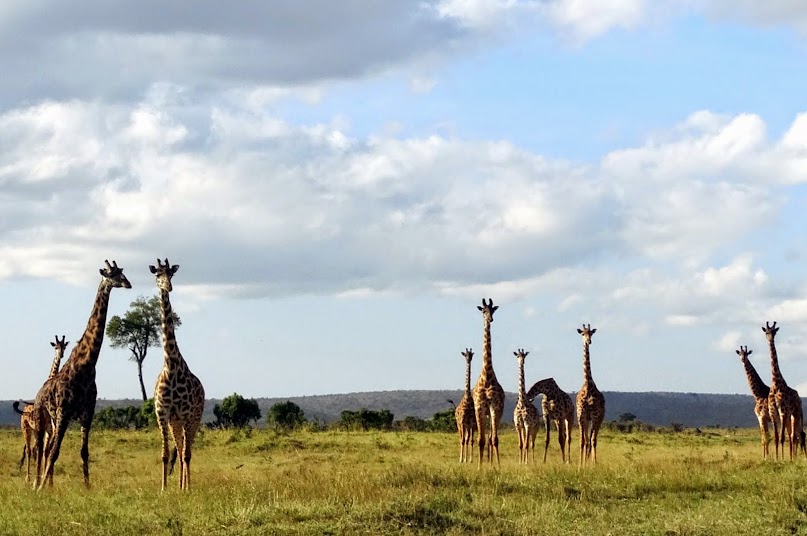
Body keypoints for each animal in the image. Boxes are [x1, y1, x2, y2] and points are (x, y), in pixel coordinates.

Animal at [13, 336, 68, 482]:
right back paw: (28, 478)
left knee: (35, 450)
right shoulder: (46, 429)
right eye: (55, 347)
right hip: (26, 428)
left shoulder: (50, 430)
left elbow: (46, 452)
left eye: (64, 347)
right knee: (29, 450)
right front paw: (42, 479)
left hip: (34, 430)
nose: (60, 355)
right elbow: (43, 451)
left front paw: (47, 480)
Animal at [32, 260, 131, 490]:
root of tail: (39, 392)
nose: (128, 283)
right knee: (41, 449)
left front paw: (87, 487)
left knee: (48, 448)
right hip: (44, 418)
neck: (86, 366)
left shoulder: (88, 411)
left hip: (54, 421)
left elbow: (84, 452)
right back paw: (37, 484)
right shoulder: (64, 411)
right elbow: (54, 452)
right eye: (111, 274)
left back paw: (49, 485)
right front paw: (40, 488)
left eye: (122, 273)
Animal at [764, 322, 807, 460]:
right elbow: (777, 438)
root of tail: (799, 398)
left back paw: (794, 458)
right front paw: (777, 459)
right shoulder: (773, 413)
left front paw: (783, 459)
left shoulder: (782, 412)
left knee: (796, 435)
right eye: (766, 332)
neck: (776, 384)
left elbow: (783, 437)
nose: (770, 339)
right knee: (793, 435)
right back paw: (792, 457)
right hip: (789, 416)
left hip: (795, 413)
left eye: (774, 332)